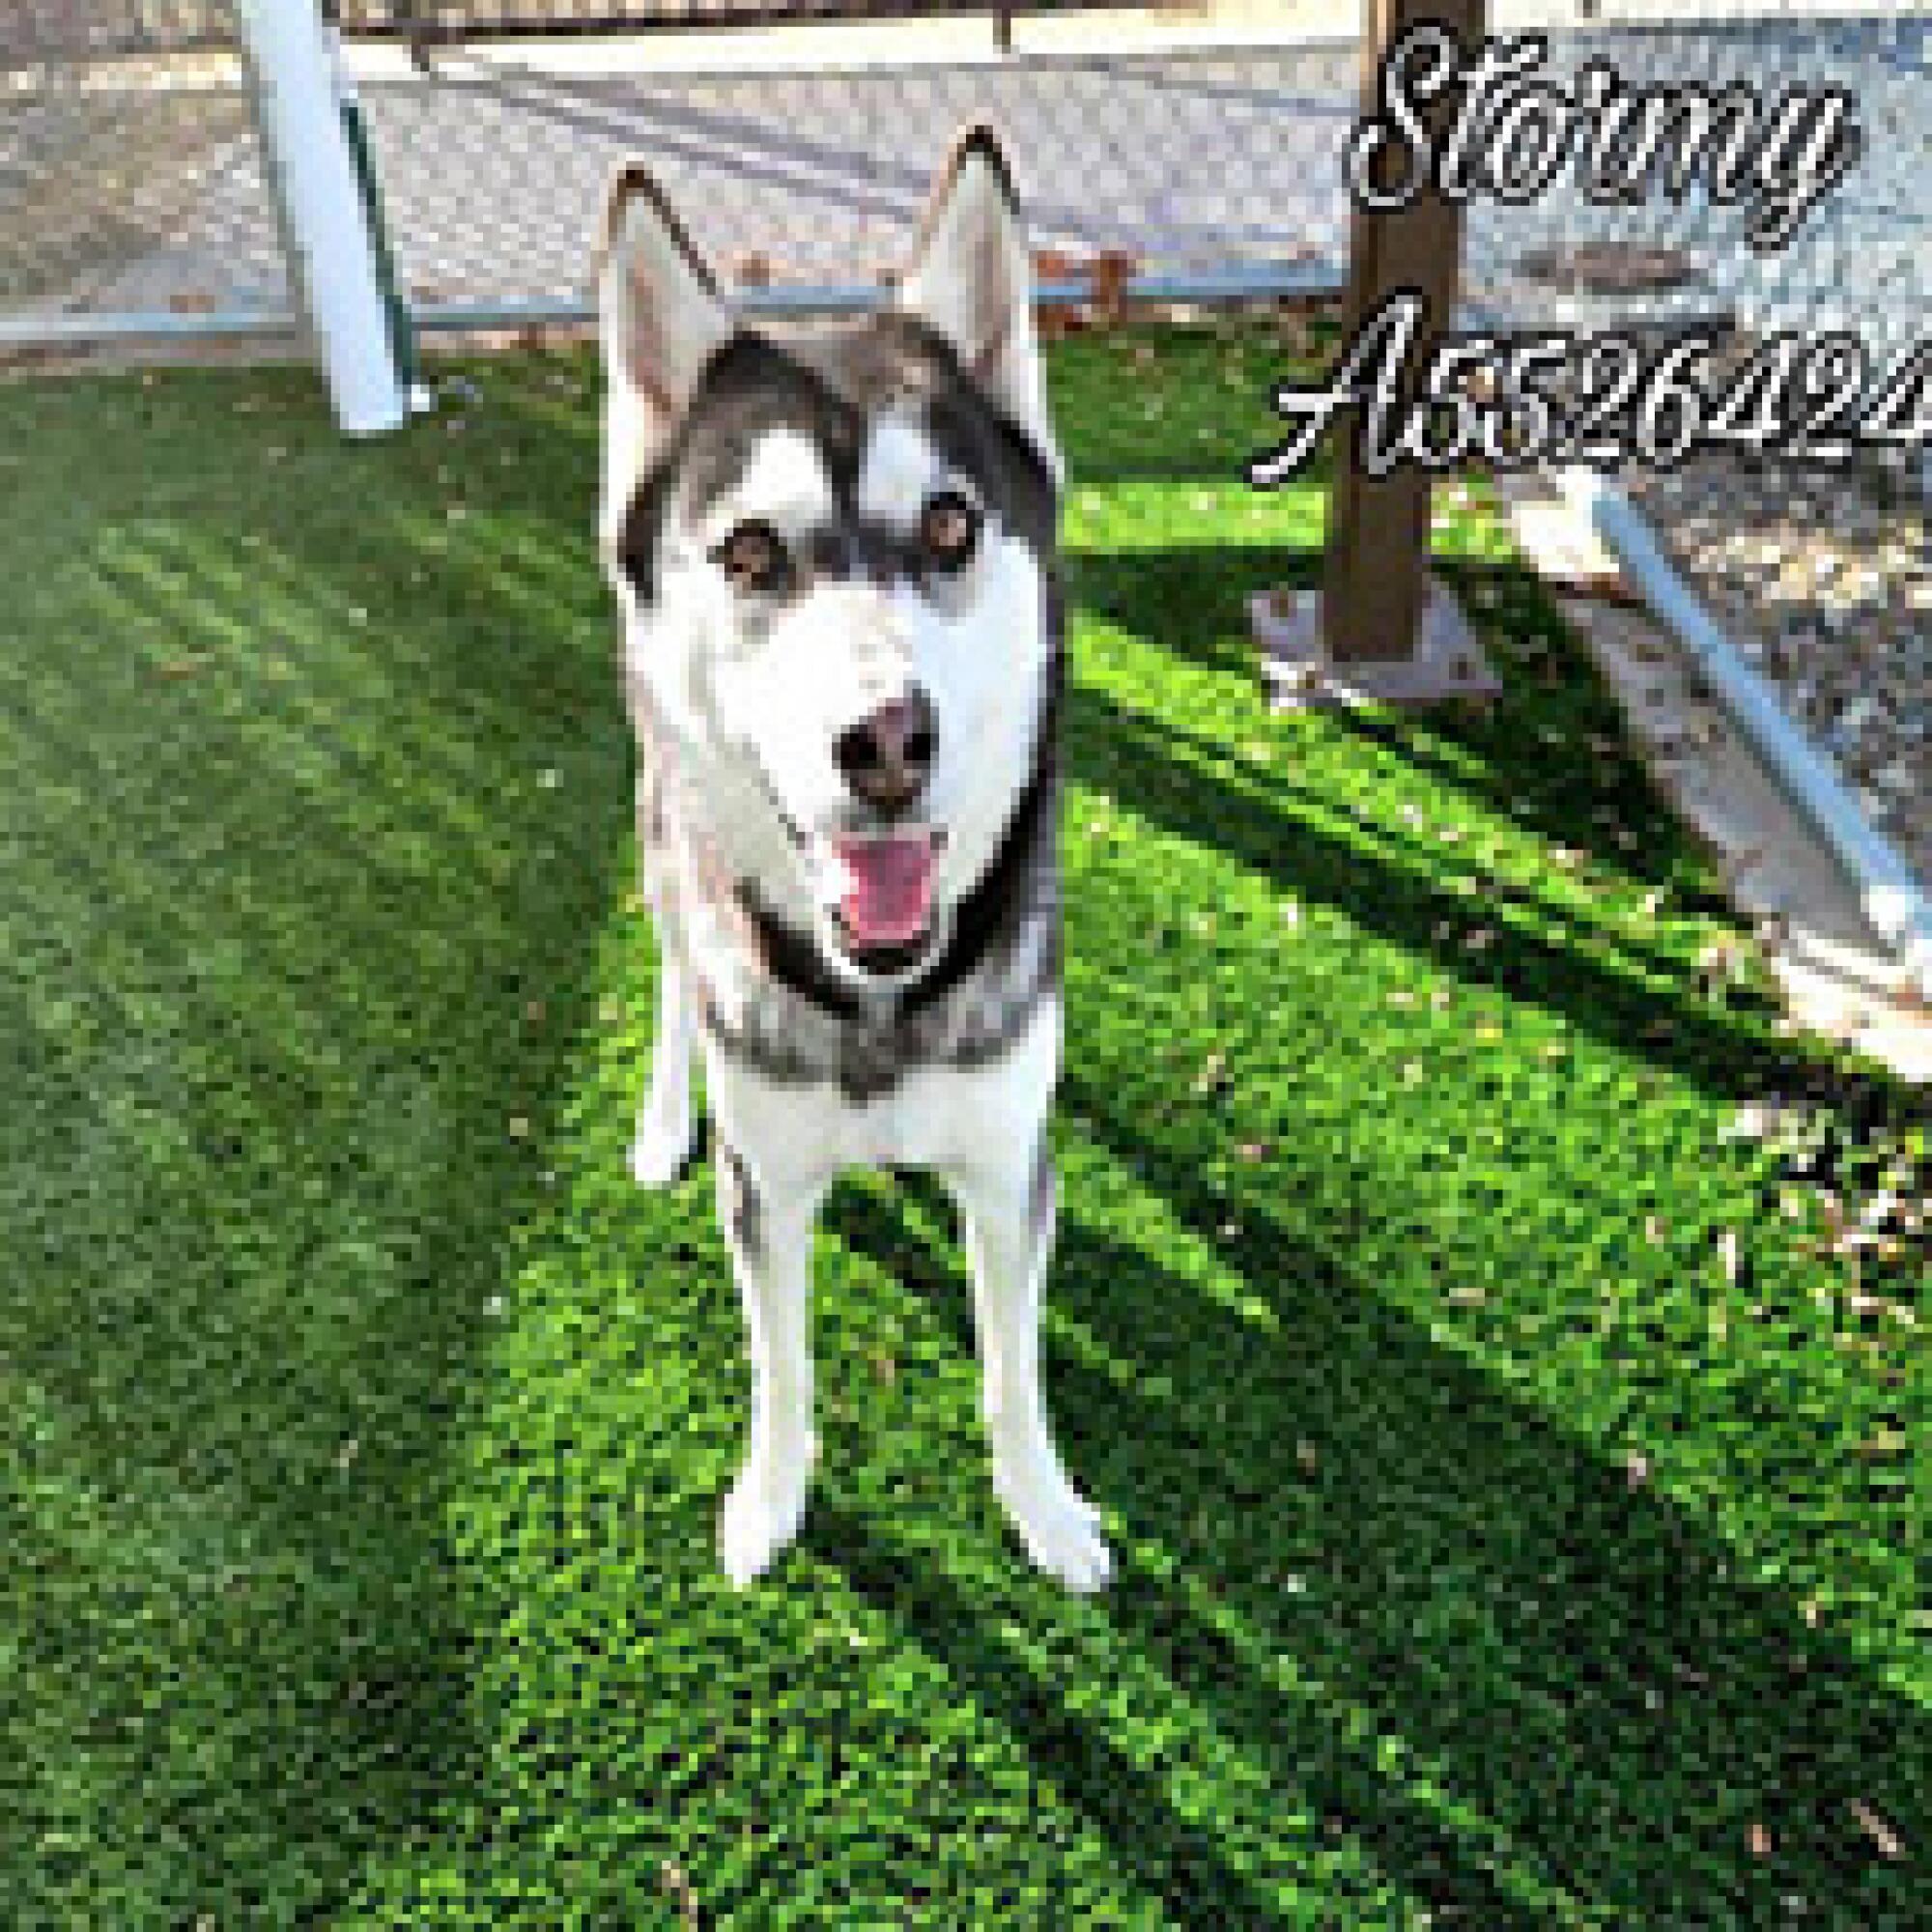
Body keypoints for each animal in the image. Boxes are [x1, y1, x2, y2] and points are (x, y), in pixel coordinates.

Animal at [595, 128, 1113, 1592]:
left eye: (948, 526)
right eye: (749, 551)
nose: (884, 741)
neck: (880, 1002)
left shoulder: (1008, 1166)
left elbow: (1013, 1369)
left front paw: (1043, 1509)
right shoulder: (765, 1188)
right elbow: (783, 1369)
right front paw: (769, 1500)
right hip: (664, 848)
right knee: (675, 979)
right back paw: (661, 1119)